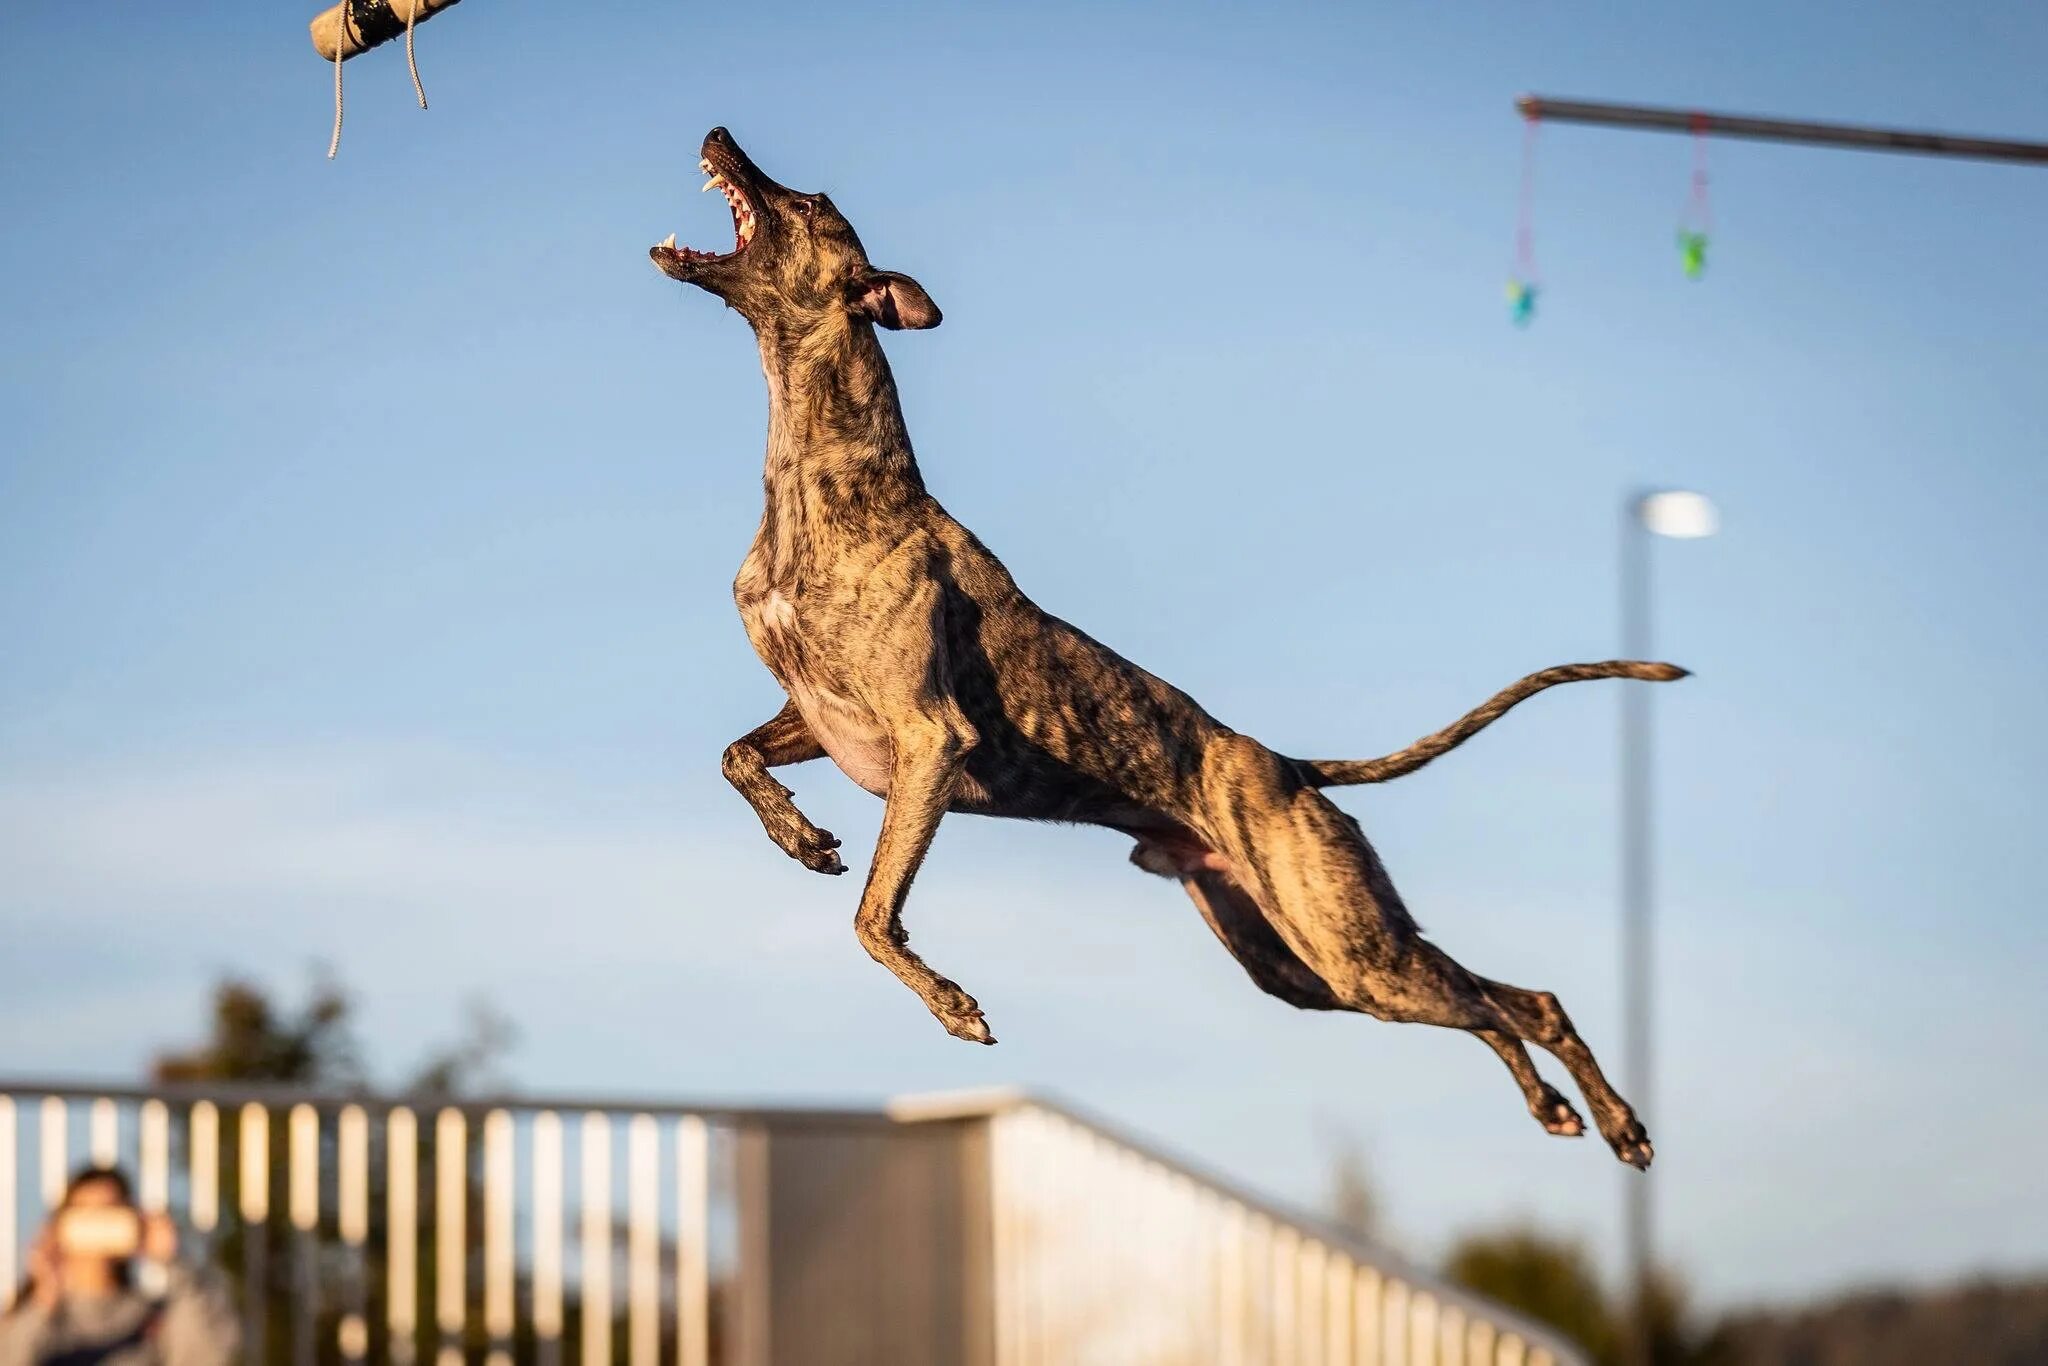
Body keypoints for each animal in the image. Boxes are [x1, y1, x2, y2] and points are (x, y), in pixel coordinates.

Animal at [651, 133, 1679, 1171]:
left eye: (808, 201)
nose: (718, 134)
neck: (827, 482)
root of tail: (1290, 769)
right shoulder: (818, 717)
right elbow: (737, 757)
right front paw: (801, 837)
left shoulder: (928, 738)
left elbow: (870, 916)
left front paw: (952, 1005)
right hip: (1305, 969)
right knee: (1497, 1006)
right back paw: (1565, 1109)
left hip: (1353, 950)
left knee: (1522, 1006)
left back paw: (1611, 1120)